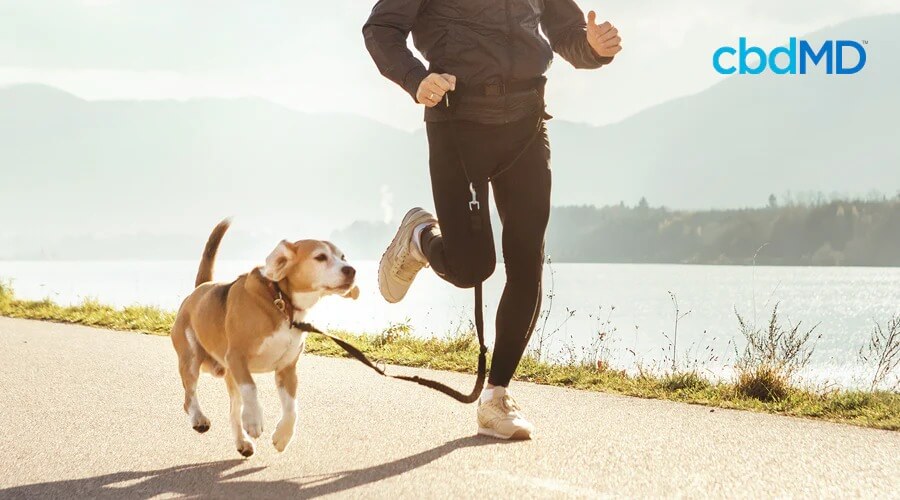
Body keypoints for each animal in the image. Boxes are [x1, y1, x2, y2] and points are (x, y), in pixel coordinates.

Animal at [172, 220, 358, 458]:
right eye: (320, 257)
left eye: (343, 257)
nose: (351, 270)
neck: (281, 302)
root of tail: (200, 289)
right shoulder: (237, 357)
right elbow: (252, 388)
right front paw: (254, 421)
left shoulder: (287, 370)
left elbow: (292, 409)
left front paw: (282, 437)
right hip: (193, 359)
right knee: (189, 397)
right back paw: (199, 418)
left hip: (229, 376)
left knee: (233, 412)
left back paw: (242, 442)